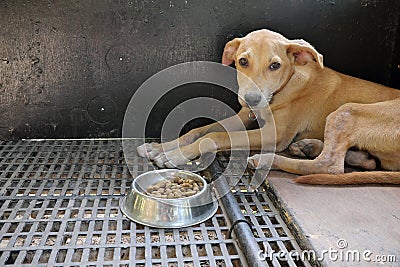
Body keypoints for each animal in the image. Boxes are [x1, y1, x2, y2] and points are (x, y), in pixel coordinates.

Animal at [138, 28, 400, 184]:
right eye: (243, 61)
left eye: (275, 65)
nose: (252, 99)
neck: (284, 88)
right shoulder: (244, 116)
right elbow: (200, 130)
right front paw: (159, 147)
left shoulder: (276, 134)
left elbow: (215, 136)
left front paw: (173, 155)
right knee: (365, 161)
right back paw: (314, 147)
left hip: (346, 112)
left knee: (331, 166)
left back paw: (268, 160)